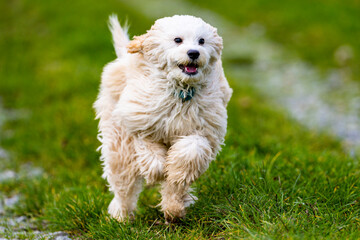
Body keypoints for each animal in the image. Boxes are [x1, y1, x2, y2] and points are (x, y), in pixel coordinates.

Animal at [94, 14, 232, 223]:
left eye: (201, 41)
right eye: (178, 40)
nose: (194, 53)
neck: (181, 93)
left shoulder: (203, 130)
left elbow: (189, 154)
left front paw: (174, 174)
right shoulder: (142, 124)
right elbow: (149, 151)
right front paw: (156, 172)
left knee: (173, 187)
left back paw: (174, 210)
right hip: (119, 146)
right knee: (124, 184)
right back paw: (121, 216)